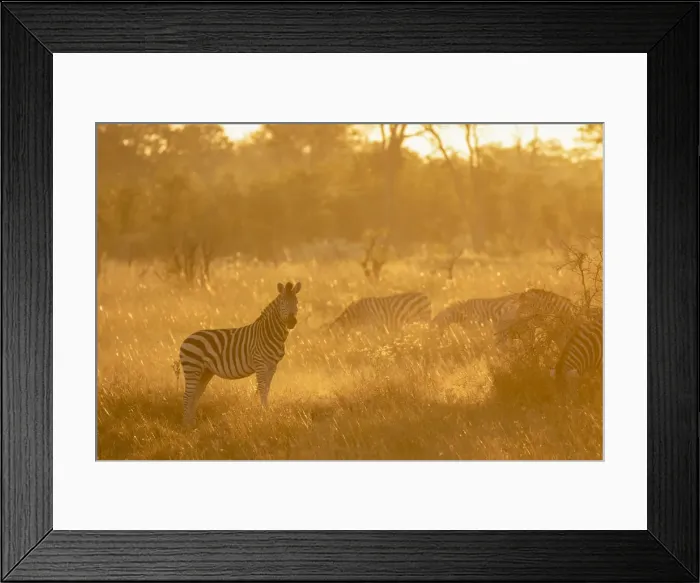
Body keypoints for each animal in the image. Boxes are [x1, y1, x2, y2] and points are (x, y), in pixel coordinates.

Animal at [178, 281, 301, 427]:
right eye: (282, 303)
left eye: (296, 302)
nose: (292, 322)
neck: (269, 333)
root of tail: (186, 339)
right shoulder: (260, 363)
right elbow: (262, 389)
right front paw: (263, 415)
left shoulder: (273, 365)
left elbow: (266, 389)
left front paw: (265, 412)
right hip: (193, 367)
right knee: (187, 396)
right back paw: (186, 425)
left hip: (205, 372)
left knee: (195, 395)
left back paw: (192, 424)